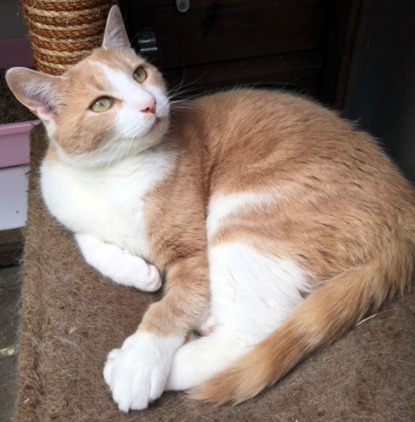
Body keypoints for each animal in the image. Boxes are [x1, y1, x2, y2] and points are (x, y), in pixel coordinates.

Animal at [6, 5, 415, 412]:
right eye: (102, 104)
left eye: (139, 74)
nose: (149, 103)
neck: (111, 174)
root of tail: (403, 201)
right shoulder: (69, 212)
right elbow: (89, 243)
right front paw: (140, 273)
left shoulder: (192, 253)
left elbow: (169, 307)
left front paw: (138, 363)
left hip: (242, 220)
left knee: (249, 336)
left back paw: (136, 364)